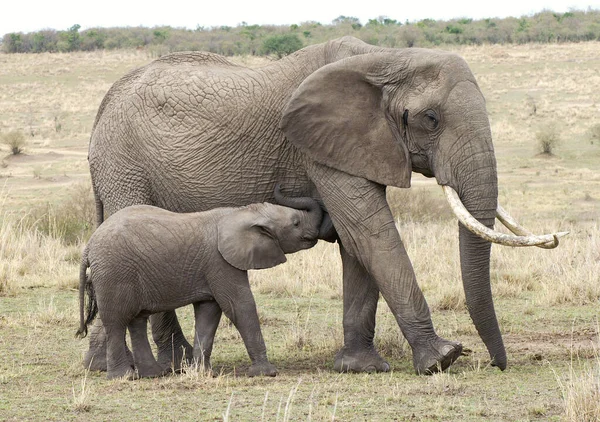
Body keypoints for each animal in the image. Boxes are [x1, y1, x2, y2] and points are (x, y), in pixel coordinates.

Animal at [75, 189, 324, 380]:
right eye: (296, 223)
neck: (241, 212)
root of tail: (89, 246)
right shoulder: (220, 262)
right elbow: (239, 305)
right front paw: (266, 373)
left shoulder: (212, 268)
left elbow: (209, 313)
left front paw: (202, 373)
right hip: (114, 273)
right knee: (117, 321)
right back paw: (125, 377)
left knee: (137, 320)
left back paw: (154, 374)